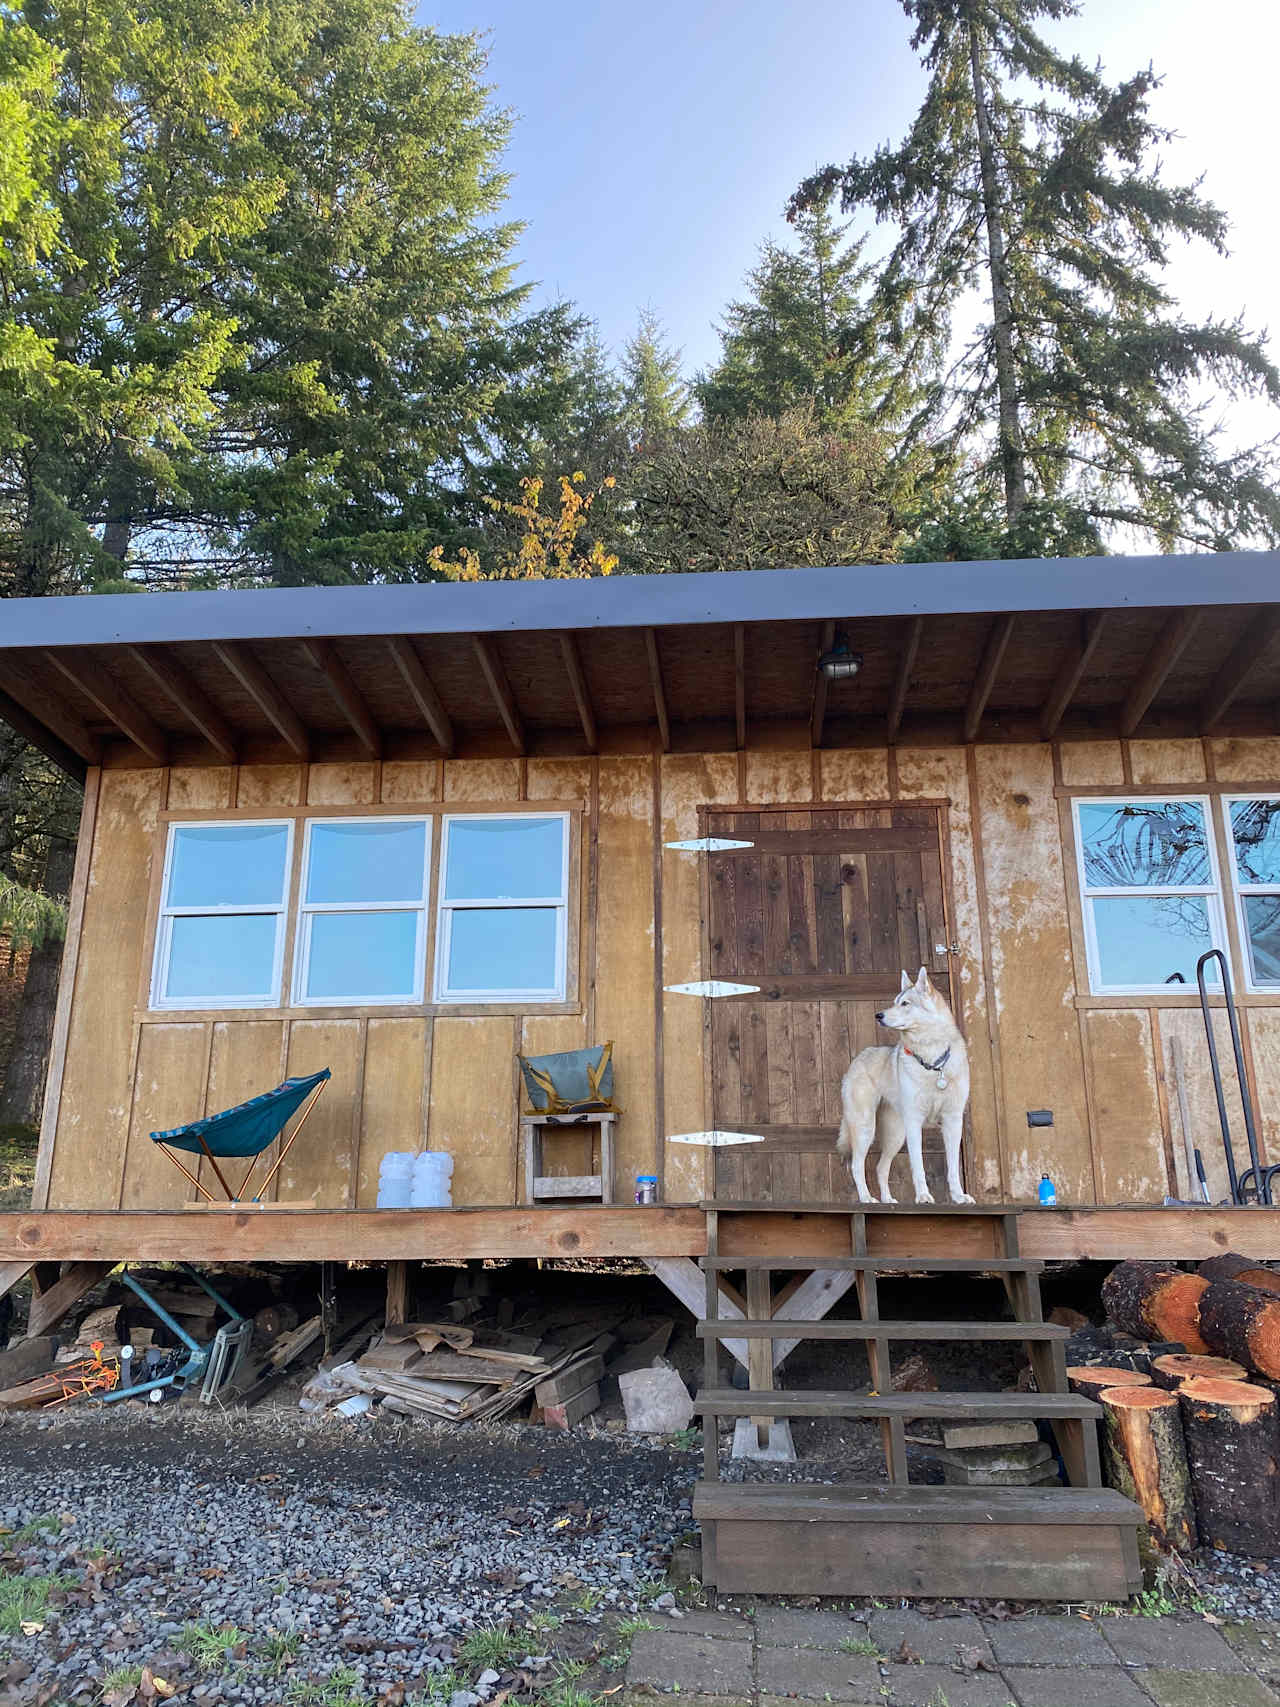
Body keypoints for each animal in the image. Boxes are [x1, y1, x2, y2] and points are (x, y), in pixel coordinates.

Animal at [843, 969, 969, 1208]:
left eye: (905, 1003)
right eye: (894, 1002)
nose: (878, 1016)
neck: (932, 1063)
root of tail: (859, 1057)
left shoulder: (953, 1120)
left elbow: (953, 1169)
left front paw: (959, 1197)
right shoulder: (914, 1121)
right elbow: (918, 1166)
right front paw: (923, 1197)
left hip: (896, 1135)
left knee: (880, 1168)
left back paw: (888, 1199)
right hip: (866, 1128)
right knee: (856, 1165)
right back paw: (866, 1198)